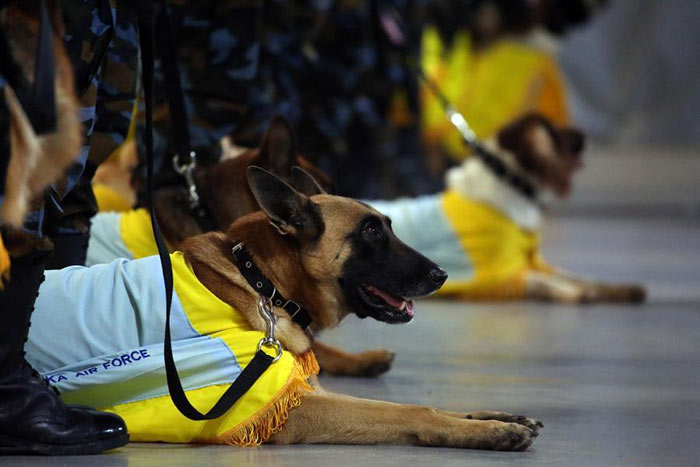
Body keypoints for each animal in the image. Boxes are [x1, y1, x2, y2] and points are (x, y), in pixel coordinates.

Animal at [26, 167, 540, 450]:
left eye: (388, 226)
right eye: (371, 232)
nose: (441, 275)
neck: (263, 284)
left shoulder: (301, 390)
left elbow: (412, 405)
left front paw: (495, 419)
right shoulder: (290, 409)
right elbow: (412, 412)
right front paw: (490, 433)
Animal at [370, 113, 648, 304]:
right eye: (556, 132)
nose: (586, 136)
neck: (513, 187)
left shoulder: (531, 262)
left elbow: (576, 277)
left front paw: (619, 289)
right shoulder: (495, 278)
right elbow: (551, 283)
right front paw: (580, 293)